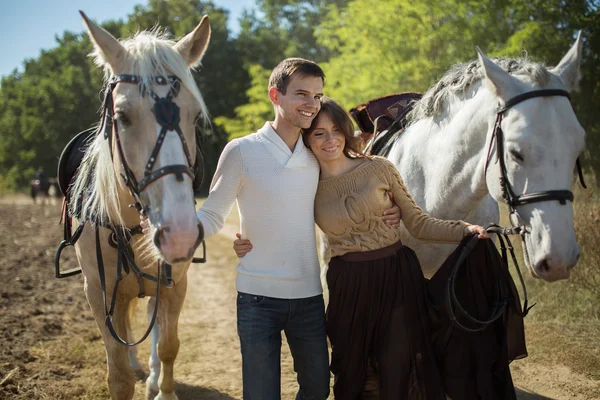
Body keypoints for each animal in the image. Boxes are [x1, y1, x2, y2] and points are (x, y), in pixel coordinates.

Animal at [68, 12, 211, 400]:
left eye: (194, 118)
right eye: (122, 117)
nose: (179, 235)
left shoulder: (176, 283)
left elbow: (168, 345)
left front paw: (164, 389)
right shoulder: (98, 292)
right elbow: (117, 371)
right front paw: (129, 372)